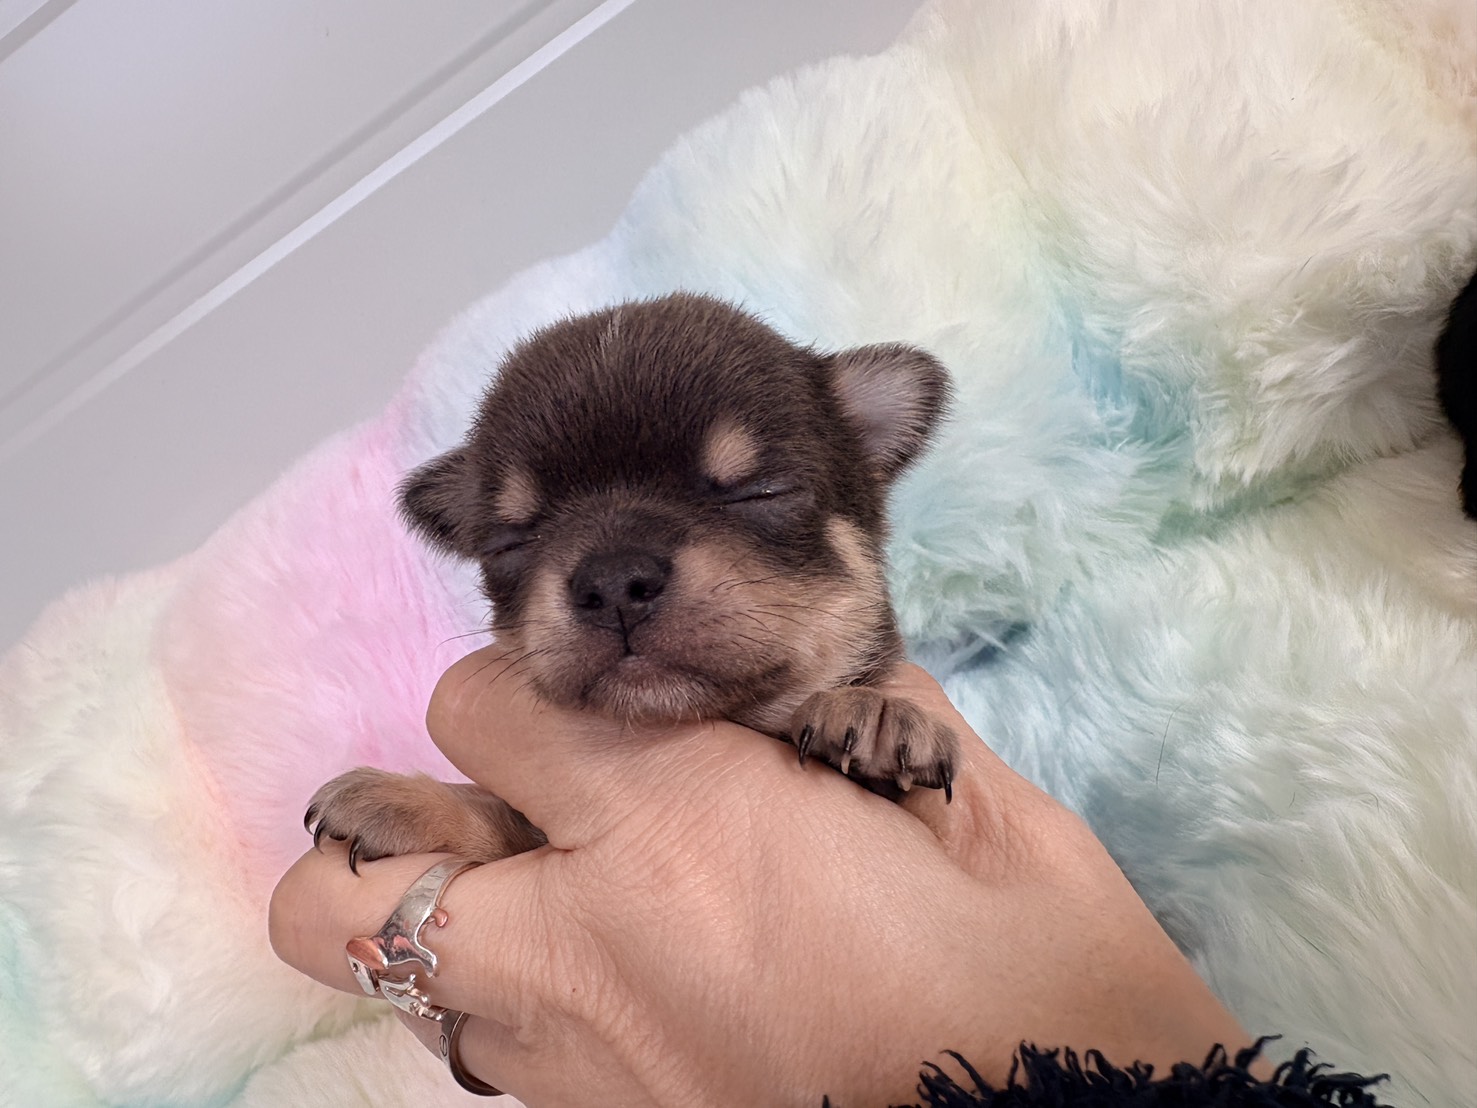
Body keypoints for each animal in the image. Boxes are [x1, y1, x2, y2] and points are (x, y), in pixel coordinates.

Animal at [305, 293, 957, 868]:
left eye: (762, 492)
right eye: (508, 545)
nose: (615, 582)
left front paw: (873, 712)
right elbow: (508, 823)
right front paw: (409, 801)